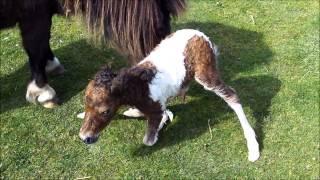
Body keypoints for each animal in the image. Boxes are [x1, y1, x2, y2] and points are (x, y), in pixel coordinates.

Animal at [0, 0, 186, 108]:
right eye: (161, 27)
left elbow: (42, 44)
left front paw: (52, 65)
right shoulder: (33, 15)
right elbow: (36, 48)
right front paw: (43, 92)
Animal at [79, 29, 260, 162]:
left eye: (106, 111)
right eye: (86, 104)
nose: (84, 137)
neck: (139, 87)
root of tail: (202, 36)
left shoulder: (155, 107)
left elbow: (149, 140)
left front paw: (161, 125)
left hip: (205, 73)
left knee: (232, 95)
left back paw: (253, 147)